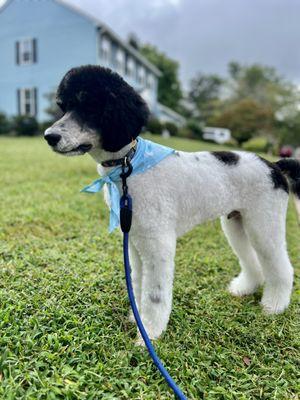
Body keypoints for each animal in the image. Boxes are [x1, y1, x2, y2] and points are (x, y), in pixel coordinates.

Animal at [44, 65, 300, 340]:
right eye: (63, 107)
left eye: (90, 106)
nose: (49, 136)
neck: (128, 167)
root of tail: (274, 166)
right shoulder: (135, 242)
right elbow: (138, 283)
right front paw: (137, 317)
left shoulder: (158, 244)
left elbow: (155, 294)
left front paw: (149, 333)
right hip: (236, 224)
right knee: (253, 263)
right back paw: (244, 288)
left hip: (263, 223)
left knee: (282, 268)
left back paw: (274, 305)